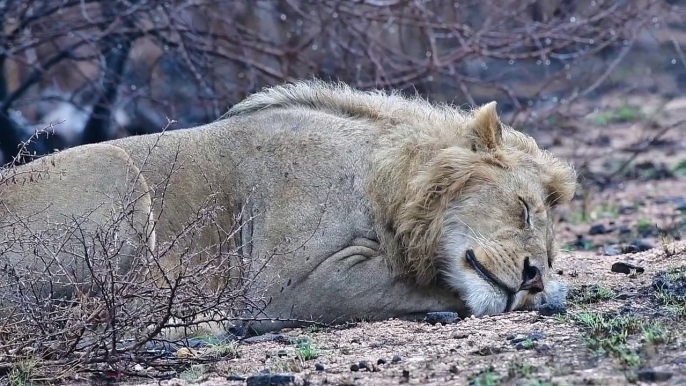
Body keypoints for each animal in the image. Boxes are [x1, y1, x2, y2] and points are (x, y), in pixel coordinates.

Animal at [0, 80, 580, 336]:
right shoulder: (284, 282)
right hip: (116, 171)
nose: (533, 276)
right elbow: (420, 282)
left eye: (552, 255)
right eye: (523, 208)